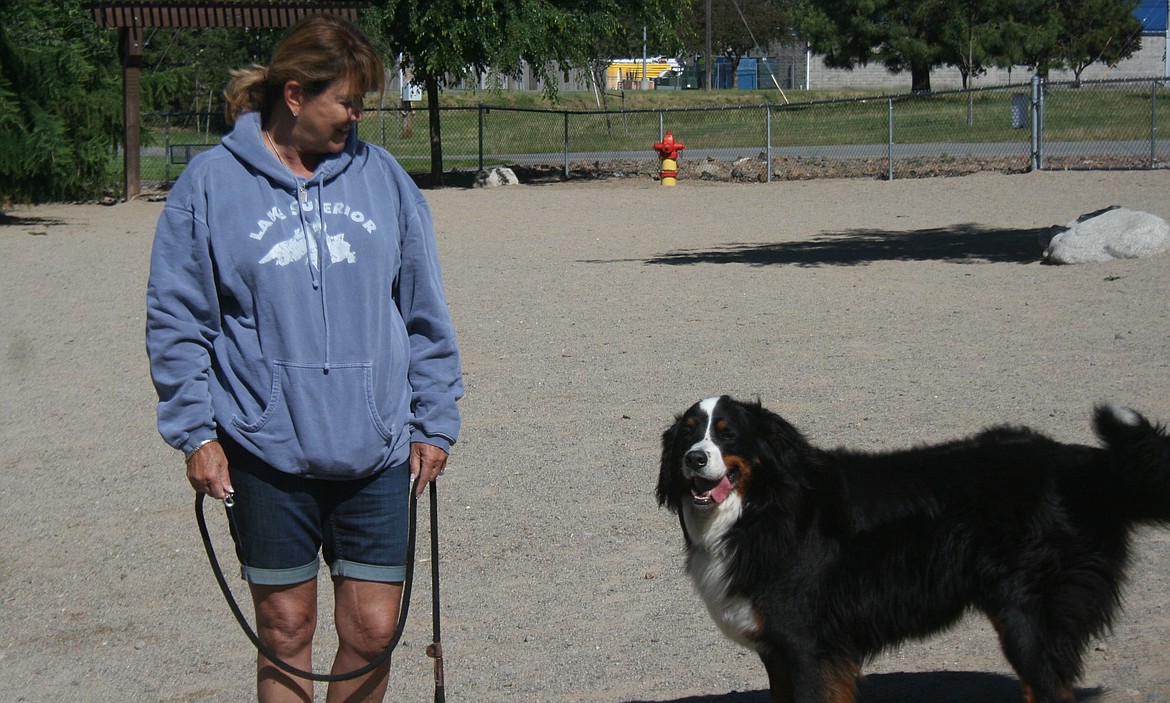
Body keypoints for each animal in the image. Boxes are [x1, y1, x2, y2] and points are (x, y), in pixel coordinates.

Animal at [655, 395, 1170, 701]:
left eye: (727, 432)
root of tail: (1077, 461)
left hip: (1029, 617)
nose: (693, 459)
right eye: (688, 432)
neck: (758, 510)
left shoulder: (803, 644)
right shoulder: (779, 650)